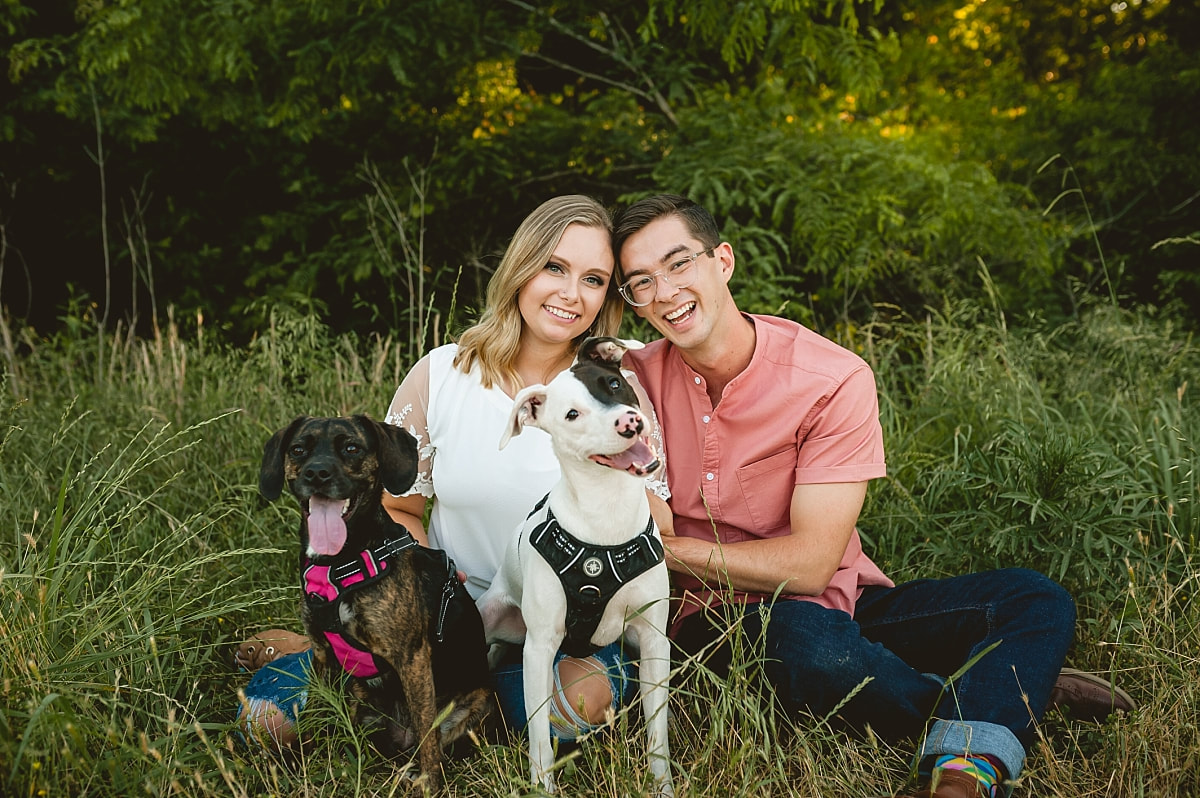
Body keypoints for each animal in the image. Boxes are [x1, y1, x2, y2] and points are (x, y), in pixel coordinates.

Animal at [259, 412, 492, 792]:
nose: (316, 473)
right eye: (298, 449)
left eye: (352, 448)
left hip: (472, 705)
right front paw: (298, 760)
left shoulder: (412, 658)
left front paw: (429, 783)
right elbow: (314, 711)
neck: (339, 563)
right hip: (360, 698)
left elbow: (427, 732)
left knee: (431, 738)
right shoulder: (322, 654)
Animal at [477, 338, 676, 796]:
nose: (630, 422)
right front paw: (543, 787)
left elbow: (657, 732)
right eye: (572, 414)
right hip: (487, 616)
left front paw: (662, 785)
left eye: (614, 383)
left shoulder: (654, 641)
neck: (606, 516)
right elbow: (539, 739)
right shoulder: (538, 650)